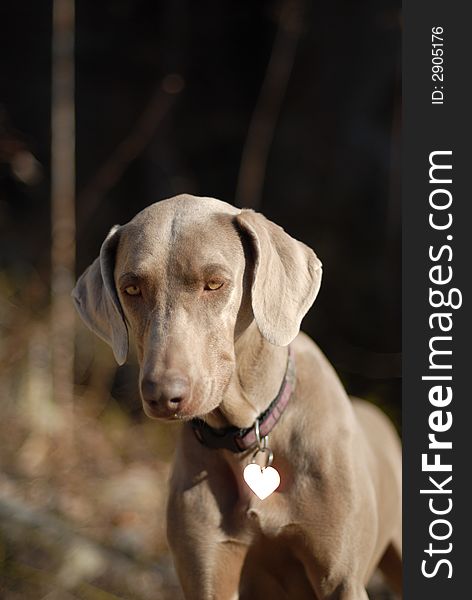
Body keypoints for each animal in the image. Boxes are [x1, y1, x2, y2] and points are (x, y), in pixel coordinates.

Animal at [72, 195, 400, 596]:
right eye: (131, 288)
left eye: (214, 283)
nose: (163, 395)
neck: (247, 432)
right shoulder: (209, 575)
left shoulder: (341, 581)